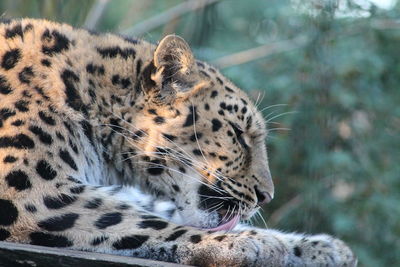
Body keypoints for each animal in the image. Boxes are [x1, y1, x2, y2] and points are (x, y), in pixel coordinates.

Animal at [0, 17, 356, 266]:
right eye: (238, 134)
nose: (266, 197)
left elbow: (160, 213)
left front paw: (320, 247)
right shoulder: (30, 190)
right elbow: (140, 222)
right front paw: (250, 244)